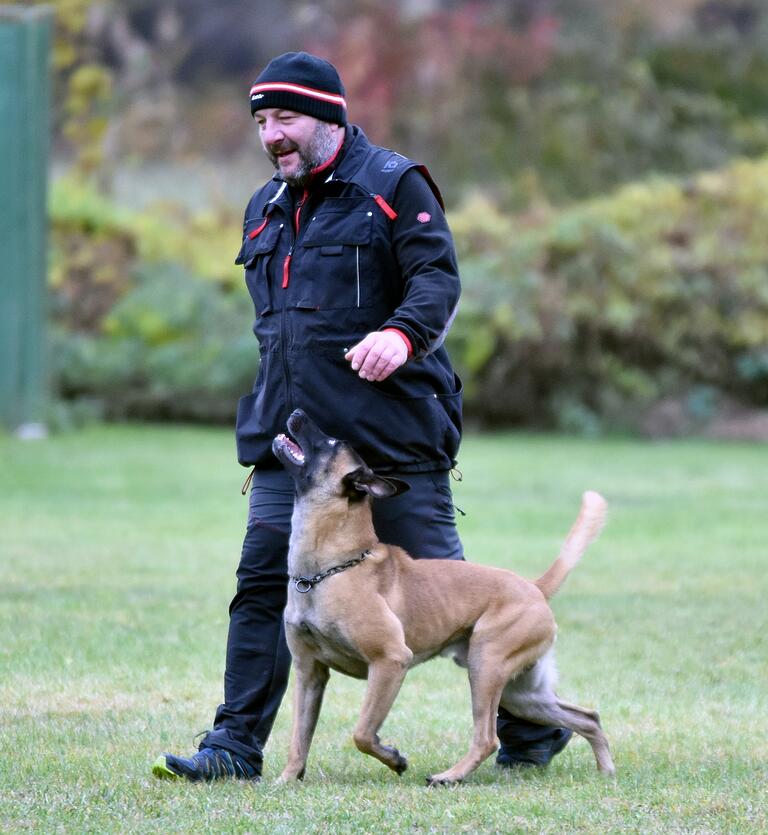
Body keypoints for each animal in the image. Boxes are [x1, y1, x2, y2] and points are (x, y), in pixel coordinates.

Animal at [272, 410, 616, 784]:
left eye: (333, 443)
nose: (296, 413)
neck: (328, 571)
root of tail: (534, 587)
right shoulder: (309, 674)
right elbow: (299, 738)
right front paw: (287, 778)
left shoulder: (390, 661)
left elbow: (362, 733)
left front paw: (394, 759)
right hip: (522, 692)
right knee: (588, 718)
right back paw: (606, 771)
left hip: (486, 665)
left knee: (487, 738)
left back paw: (449, 776)